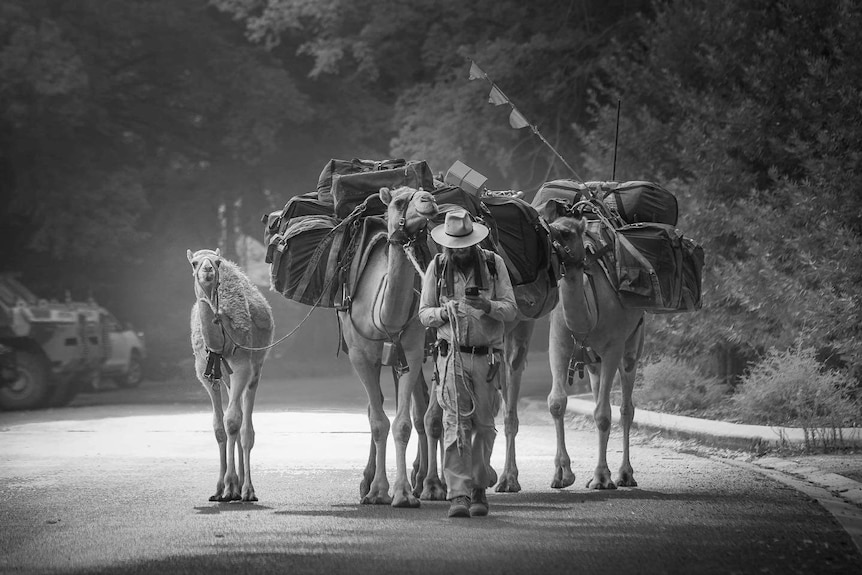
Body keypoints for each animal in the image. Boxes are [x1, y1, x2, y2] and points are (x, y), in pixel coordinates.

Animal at [190, 250, 276, 502]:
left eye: (217, 262)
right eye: (194, 263)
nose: (207, 269)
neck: (221, 343)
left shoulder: (241, 367)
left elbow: (232, 422)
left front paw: (231, 487)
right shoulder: (205, 374)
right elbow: (219, 428)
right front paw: (220, 489)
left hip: (256, 367)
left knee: (245, 427)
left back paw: (246, 489)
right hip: (226, 378)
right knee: (234, 423)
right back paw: (236, 487)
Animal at [340, 186, 438, 508]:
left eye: (424, 192)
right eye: (397, 202)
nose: (429, 201)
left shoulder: (413, 351)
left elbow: (403, 423)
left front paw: (404, 493)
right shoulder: (360, 357)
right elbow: (378, 421)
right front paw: (377, 490)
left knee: (429, 413)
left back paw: (432, 484)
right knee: (384, 409)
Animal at [544, 207, 644, 490]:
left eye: (566, 232)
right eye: (550, 226)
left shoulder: (613, 346)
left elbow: (603, 414)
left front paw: (601, 477)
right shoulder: (558, 342)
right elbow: (556, 402)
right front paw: (562, 474)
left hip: (633, 343)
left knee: (625, 407)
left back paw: (624, 475)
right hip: (592, 361)